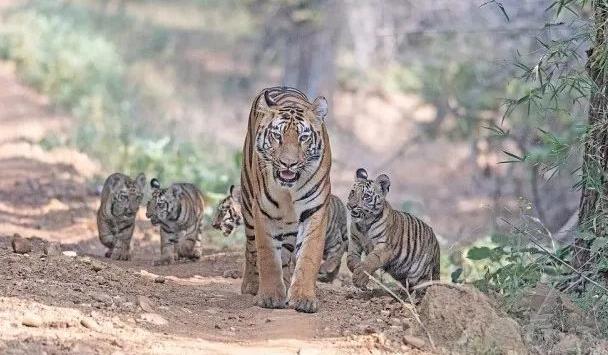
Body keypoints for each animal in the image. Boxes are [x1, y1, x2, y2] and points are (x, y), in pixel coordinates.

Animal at [213, 186, 350, 284]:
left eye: (223, 211)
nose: (213, 224)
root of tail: (339, 202)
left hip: (329, 235)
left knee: (339, 248)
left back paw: (326, 268)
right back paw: (327, 277)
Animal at [239, 87, 332, 314]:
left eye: (303, 137)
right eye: (277, 135)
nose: (288, 163)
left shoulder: (315, 209)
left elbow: (309, 254)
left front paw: (303, 297)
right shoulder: (263, 210)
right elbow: (267, 255)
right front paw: (270, 296)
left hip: (290, 223)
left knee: (287, 252)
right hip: (247, 201)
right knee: (251, 248)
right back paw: (252, 285)